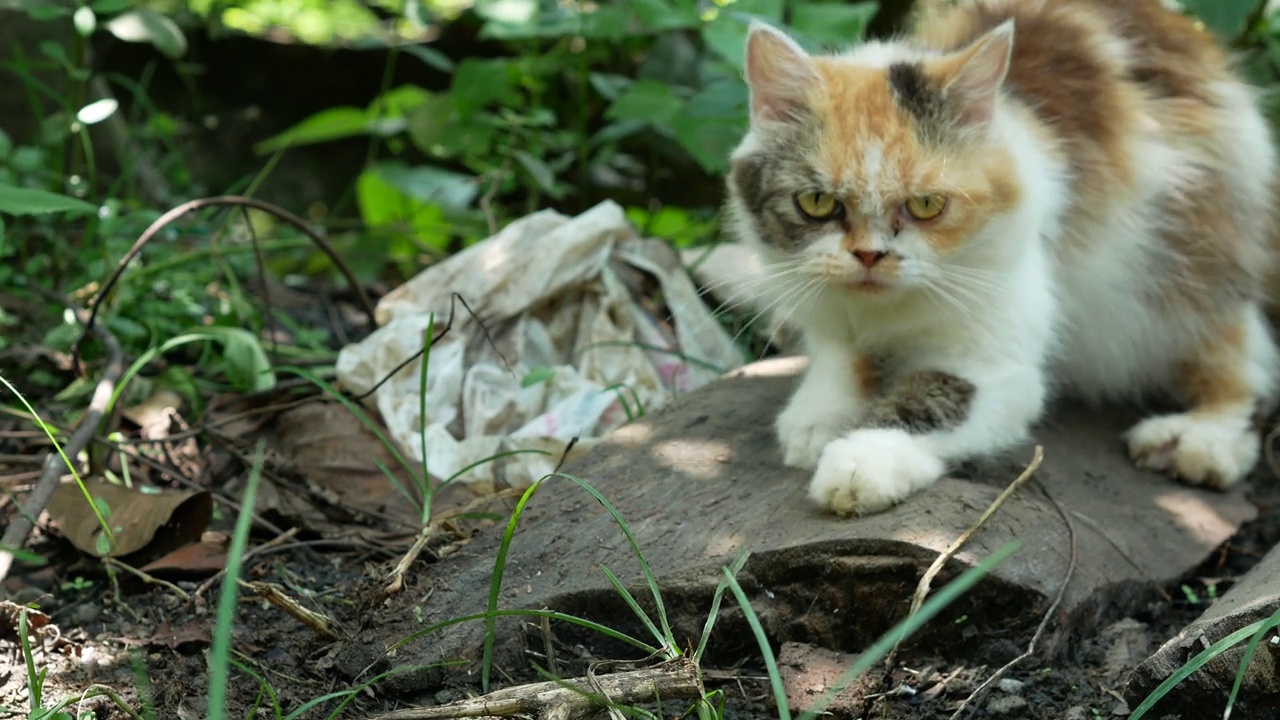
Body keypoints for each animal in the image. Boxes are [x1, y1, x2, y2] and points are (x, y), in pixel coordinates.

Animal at [727, 0, 1280, 515]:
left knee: (1243, 361)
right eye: (818, 203)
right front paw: (817, 417)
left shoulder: (995, 362)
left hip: (1185, 264)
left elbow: (932, 401)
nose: (869, 256)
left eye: (926, 205)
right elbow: (839, 354)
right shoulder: (829, 308)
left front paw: (860, 463)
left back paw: (1199, 441)